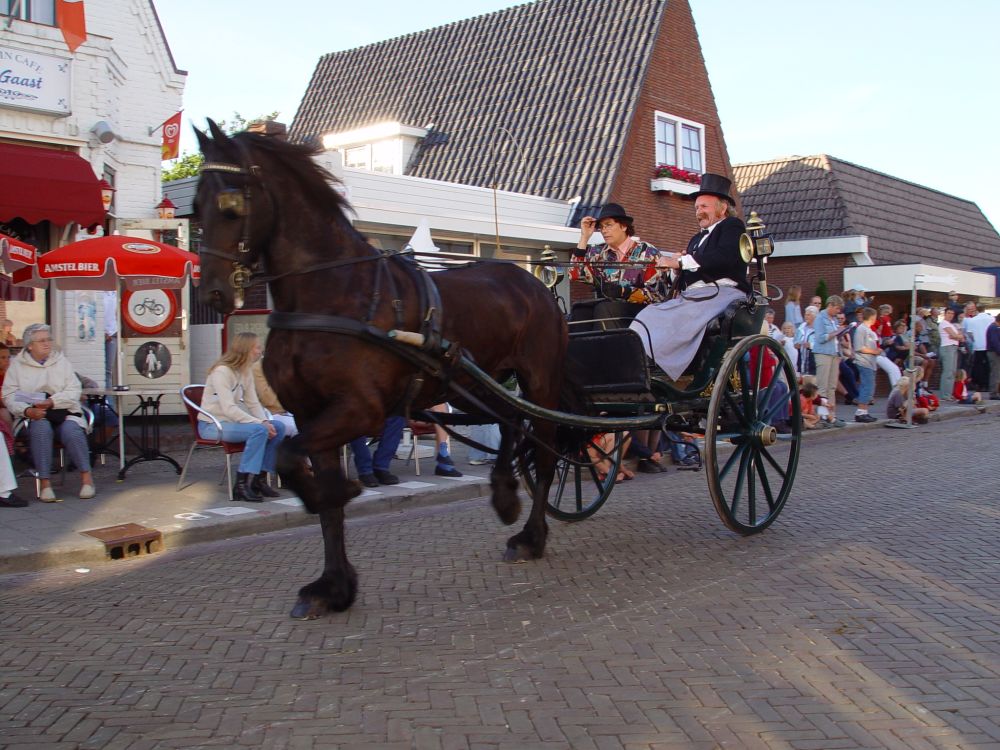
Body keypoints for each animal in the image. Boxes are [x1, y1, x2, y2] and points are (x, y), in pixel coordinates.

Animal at [192, 122, 576, 616]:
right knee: (510, 423)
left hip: (539, 381)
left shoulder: (359, 410)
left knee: (545, 454)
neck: (332, 292)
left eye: (230, 204)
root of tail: (536, 283)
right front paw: (333, 586)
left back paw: (530, 536)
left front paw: (339, 495)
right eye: (194, 206)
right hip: (478, 382)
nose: (212, 292)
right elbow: (318, 495)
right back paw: (505, 495)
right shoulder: (310, 414)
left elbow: (293, 461)